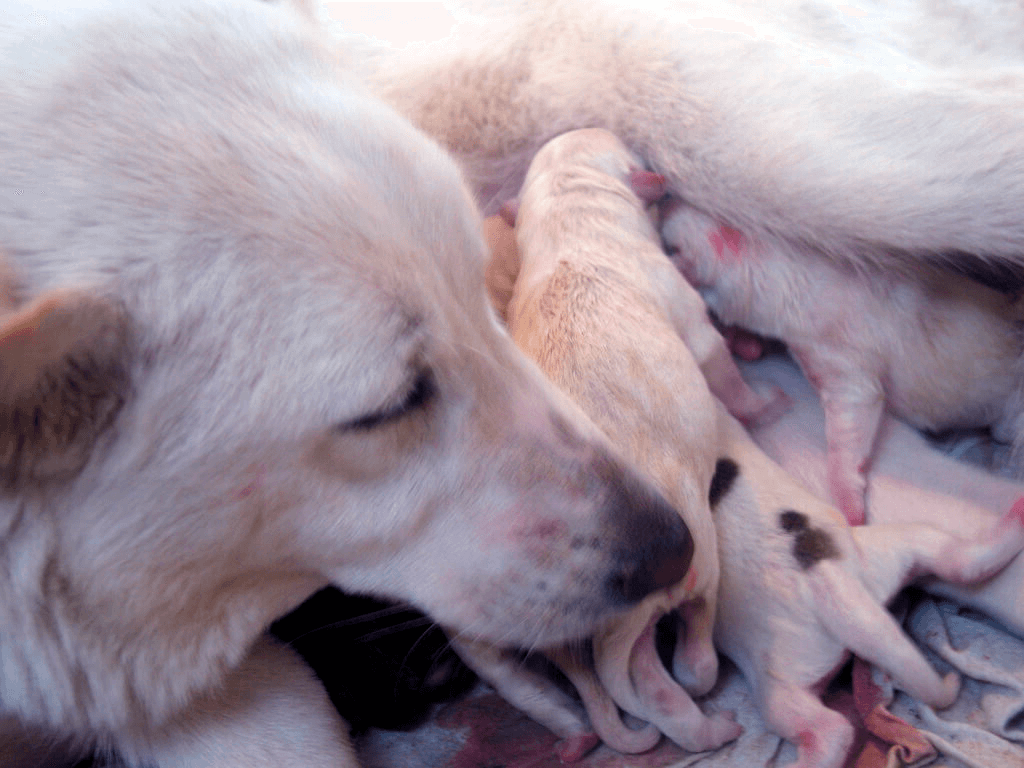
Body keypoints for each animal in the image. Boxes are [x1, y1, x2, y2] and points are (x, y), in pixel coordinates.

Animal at [468, 128, 753, 757]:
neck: (567, 219)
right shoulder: (686, 310)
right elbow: (716, 358)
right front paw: (765, 404)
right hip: (700, 559)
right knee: (693, 642)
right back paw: (708, 693)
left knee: (646, 682)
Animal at [659, 202, 1019, 528]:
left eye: (672, 246)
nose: (667, 197)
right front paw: (747, 346)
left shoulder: (845, 356)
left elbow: (854, 414)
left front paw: (852, 515)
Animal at [712, 397, 1024, 768]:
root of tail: (828, 580)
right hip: (887, 552)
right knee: (957, 560)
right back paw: (1016, 516)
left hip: (771, 670)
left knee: (820, 727)